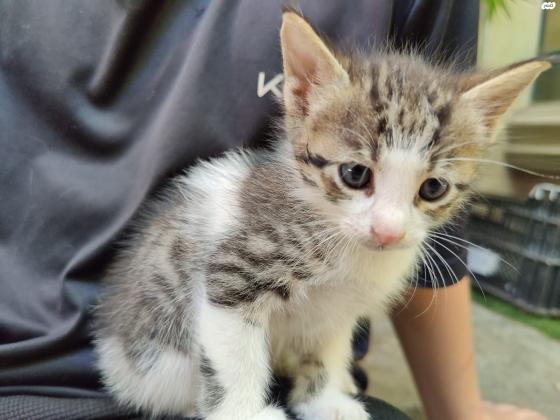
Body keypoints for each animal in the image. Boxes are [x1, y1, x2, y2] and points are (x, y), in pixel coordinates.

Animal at [93, 9, 552, 420]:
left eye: (433, 188)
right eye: (355, 174)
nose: (388, 232)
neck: (331, 229)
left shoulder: (337, 309)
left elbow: (326, 349)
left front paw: (324, 400)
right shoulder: (234, 272)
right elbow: (236, 356)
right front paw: (244, 412)